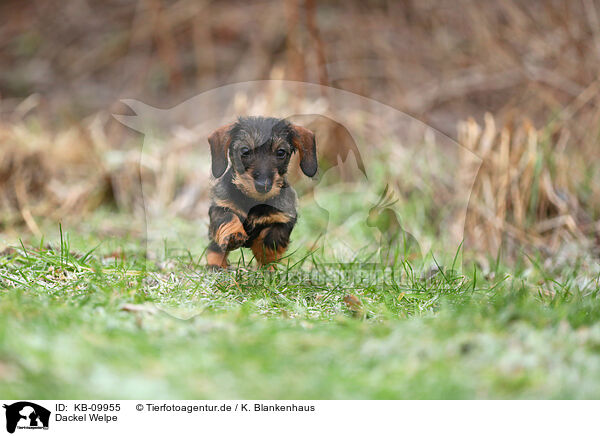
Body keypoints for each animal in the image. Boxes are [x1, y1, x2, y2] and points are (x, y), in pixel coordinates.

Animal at [206, 115, 316, 270]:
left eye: (281, 152)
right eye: (245, 151)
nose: (263, 185)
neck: (253, 201)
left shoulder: (283, 219)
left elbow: (271, 240)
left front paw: (265, 261)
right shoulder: (220, 207)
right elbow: (228, 217)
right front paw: (233, 235)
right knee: (214, 250)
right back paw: (216, 265)